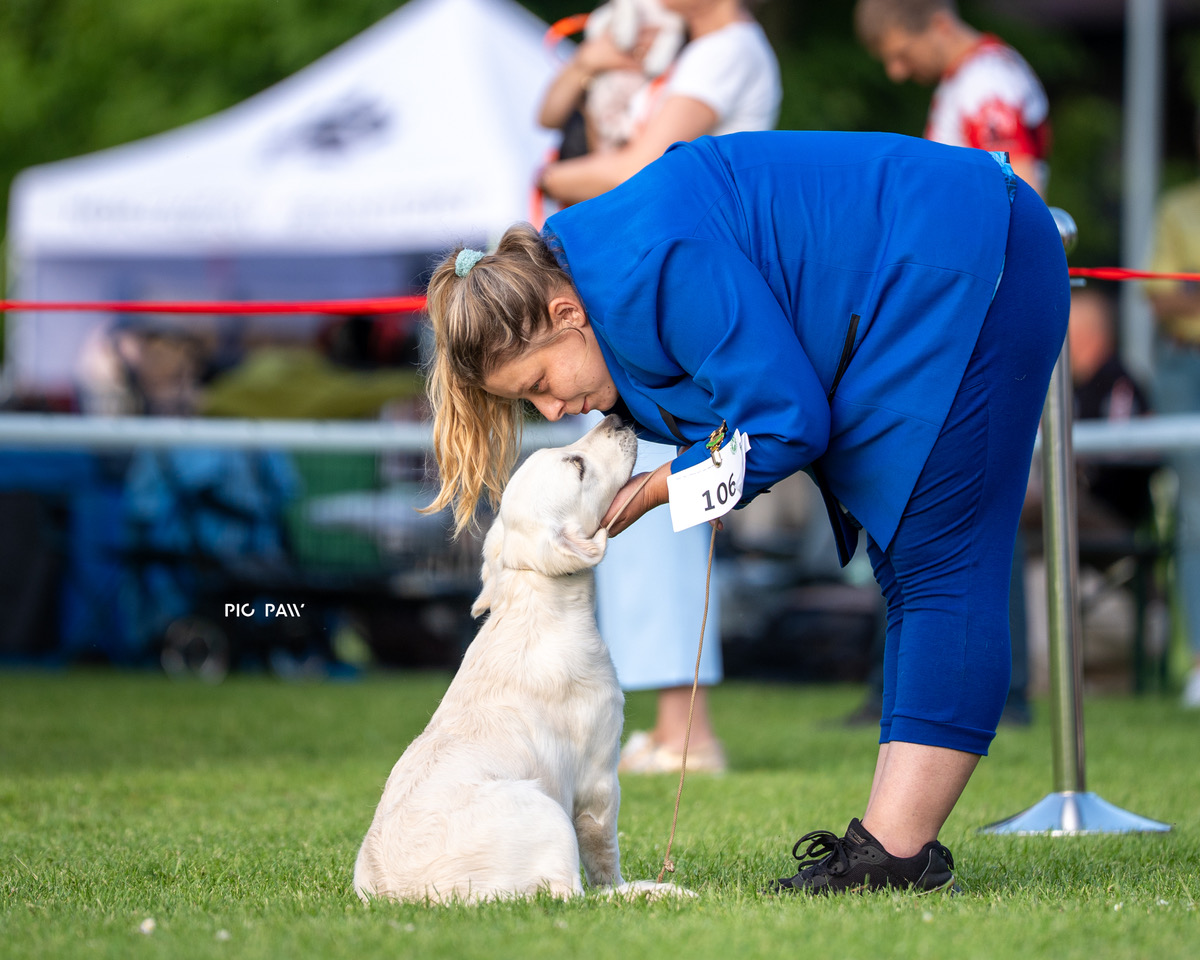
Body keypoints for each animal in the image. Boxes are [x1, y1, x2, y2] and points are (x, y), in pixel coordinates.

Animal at [354, 415, 690, 904]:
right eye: (577, 465)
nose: (617, 417)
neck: (535, 603)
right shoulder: (599, 775)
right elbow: (604, 854)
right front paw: (627, 883)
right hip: (547, 812)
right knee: (578, 894)